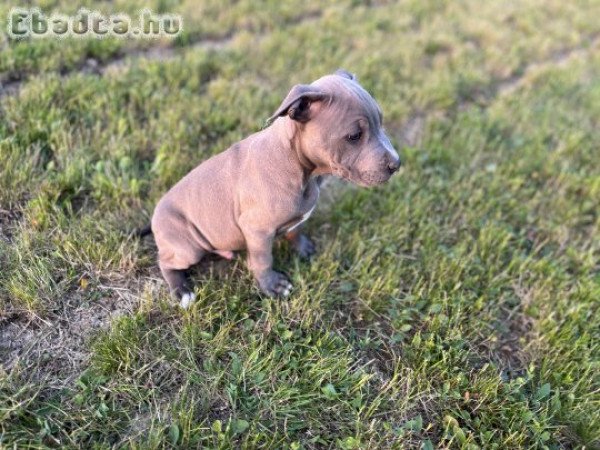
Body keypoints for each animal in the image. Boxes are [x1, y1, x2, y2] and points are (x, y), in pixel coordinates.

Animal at [148, 69, 400, 310]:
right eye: (354, 136)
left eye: (381, 121)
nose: (397, 164)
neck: (298, 166)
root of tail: (154, 217)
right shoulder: (257, 230)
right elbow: (263, 259)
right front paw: (272, 285)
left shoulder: (296, 217)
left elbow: (296, 230)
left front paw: (303, 248)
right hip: (187, 247)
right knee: (165, 262)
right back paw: (182, 290)